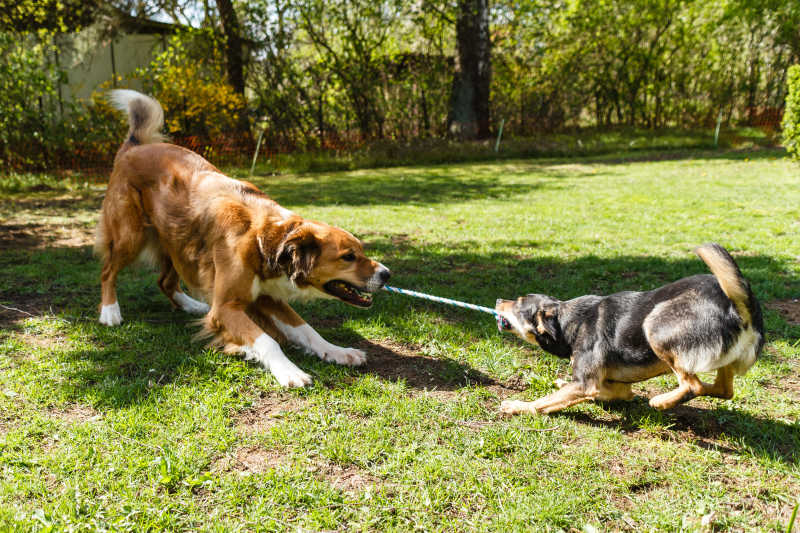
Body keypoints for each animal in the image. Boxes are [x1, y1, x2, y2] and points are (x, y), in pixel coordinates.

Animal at [97, 89, 390, 384]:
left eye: (361, 251)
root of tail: (134, 147)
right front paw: (290, 371)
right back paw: (110, 312)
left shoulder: (268, 298)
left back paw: (191, 305)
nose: (387, 274)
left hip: (176, 242)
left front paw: (337, 351)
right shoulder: (225, 307)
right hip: (131, 236)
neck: (267, 239)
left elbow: (306, 329)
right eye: (348, 257)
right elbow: (268, 341)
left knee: (165, 282)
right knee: (108, 271)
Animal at [494, 243, 764, 414]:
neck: (567, 322)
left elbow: (543, 402)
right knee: (723, 390)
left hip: (655, 324)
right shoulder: (615, 387)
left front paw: (519, 407)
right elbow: (602, 393)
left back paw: (661, 401)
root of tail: (741, 308)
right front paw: (560, 384)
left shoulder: (585, 384)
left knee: (693, 385)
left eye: (517, 303)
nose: (497, 300)